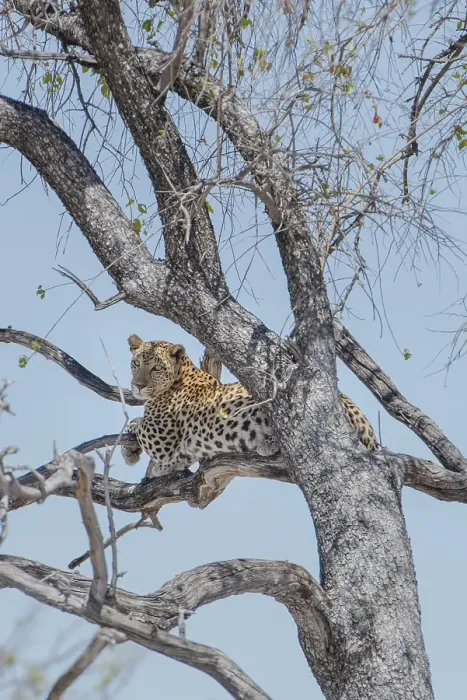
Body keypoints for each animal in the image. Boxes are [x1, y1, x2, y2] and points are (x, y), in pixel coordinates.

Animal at [121, 335, 378, 480]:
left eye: (156, 368)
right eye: (135, 363)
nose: (137, 386)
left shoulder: (161, 439)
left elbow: (137, 424)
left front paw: (132, 445)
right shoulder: (181, 450)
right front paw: (143, 461)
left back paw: (270, 444)